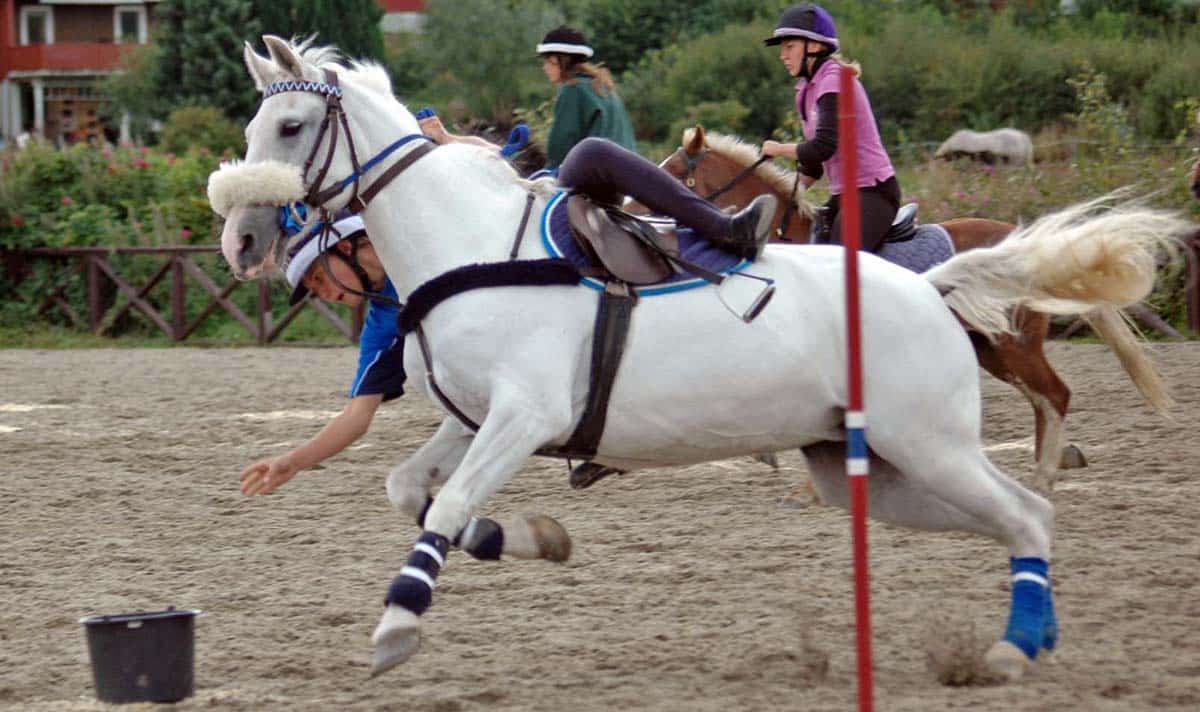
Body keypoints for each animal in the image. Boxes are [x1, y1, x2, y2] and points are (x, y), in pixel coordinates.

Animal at [656, 125, 1174, 490]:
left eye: (673, 173)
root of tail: (1026, 242)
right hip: (990, 346)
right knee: (1043, 399)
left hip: (1012, 343)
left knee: (1054, 395)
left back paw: (1044, 478)